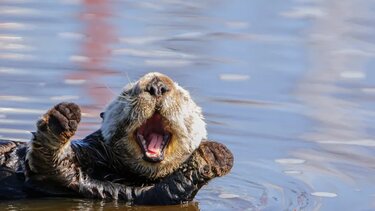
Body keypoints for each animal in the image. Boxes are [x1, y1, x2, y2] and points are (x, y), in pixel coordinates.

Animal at [0, 72, 234, 204]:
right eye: (127, 92)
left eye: (184, 97)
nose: (157, 85)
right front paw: (63, 117)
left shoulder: (127, 194)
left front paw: (213, 155)